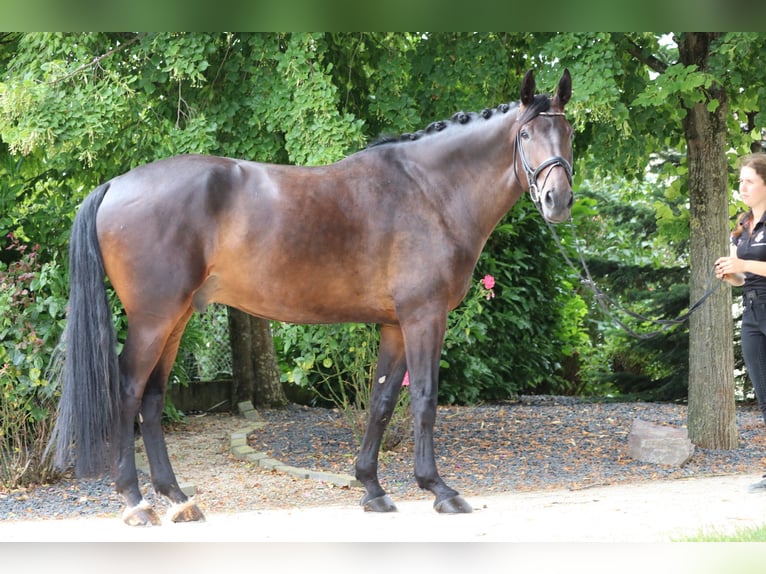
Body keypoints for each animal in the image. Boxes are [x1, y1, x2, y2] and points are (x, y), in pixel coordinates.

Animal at [51, 67, 572, 528]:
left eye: (568, 132)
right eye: (526, 135)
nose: (559, 201)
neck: (430, 191)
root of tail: (116, 184)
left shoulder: (395, 324)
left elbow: (383, 400)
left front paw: (372, 488)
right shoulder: (424, 317)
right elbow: (424, 399)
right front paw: (439, 489)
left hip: (176, 319)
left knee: (154, 397)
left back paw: (179, 499)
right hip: (153, 319)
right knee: (128, 391)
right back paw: (135, 503)